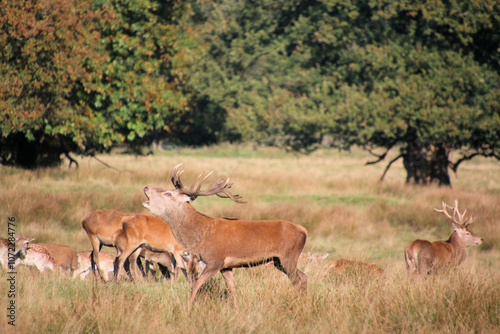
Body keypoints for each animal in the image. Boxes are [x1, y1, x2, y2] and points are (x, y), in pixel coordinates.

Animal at [143, 163, 308, 306]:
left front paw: (188, 307)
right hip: (277, 261)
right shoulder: (226, 266)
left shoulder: (215, 260)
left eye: (168, 193)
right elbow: (231, 288)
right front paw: (236, 309)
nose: (145, 187)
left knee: (299, 279)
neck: (200, 236)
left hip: (288, 256)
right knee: (303, 277)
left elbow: (196, 284)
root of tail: (304, 230)